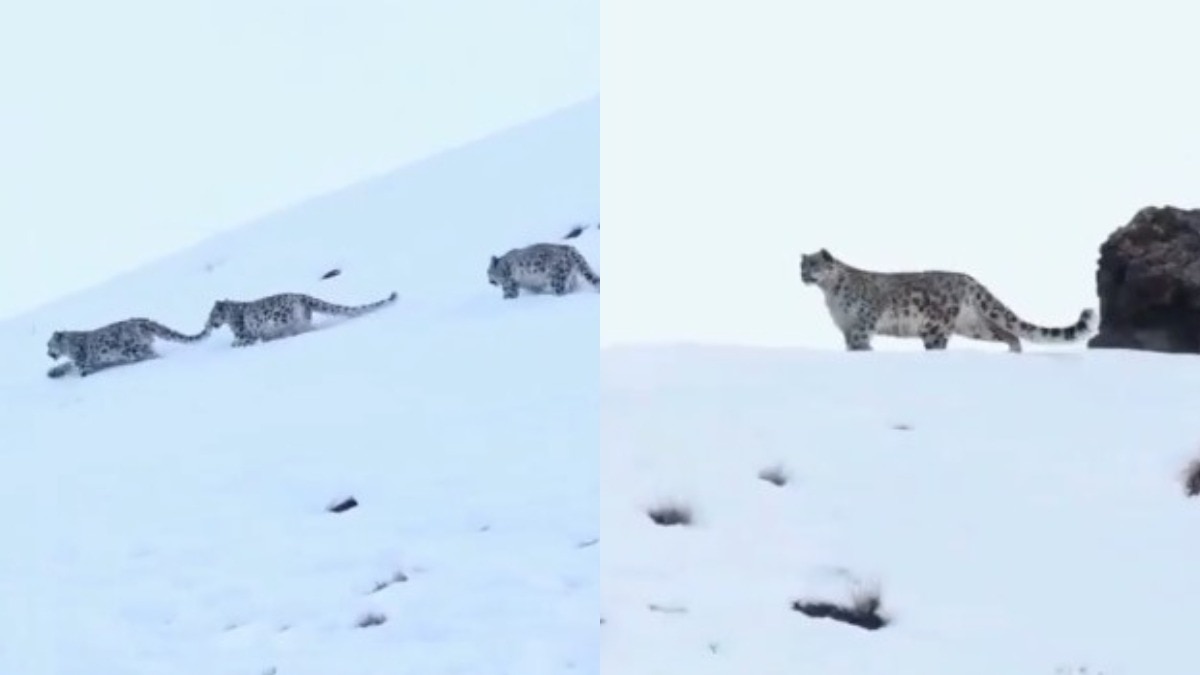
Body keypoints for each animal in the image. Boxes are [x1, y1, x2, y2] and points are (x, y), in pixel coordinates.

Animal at [46, 317, 211, 378]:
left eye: (49, 344)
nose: (48, 354)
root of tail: (142, 321)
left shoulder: (82, 363)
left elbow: (77, 367)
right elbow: (67, 364)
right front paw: (53, 372)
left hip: (132, 349)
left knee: (153, 354)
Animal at [204, 291, 398, 347]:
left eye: (213, 315)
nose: (211, 324)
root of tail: (302, 296)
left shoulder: (246, 333)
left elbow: (243, 339)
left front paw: (236, 344)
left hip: (281, 317)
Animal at [798, 248, 1097, 353]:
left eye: (814, 264)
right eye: (802, 265)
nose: (803, 275)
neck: (831, 294)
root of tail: (969, 279)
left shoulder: (862, 323)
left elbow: (861, 344)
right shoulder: (847, 327)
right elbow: (850, 346)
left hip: (936, 326)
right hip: (974, 326)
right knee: (1009, 334)